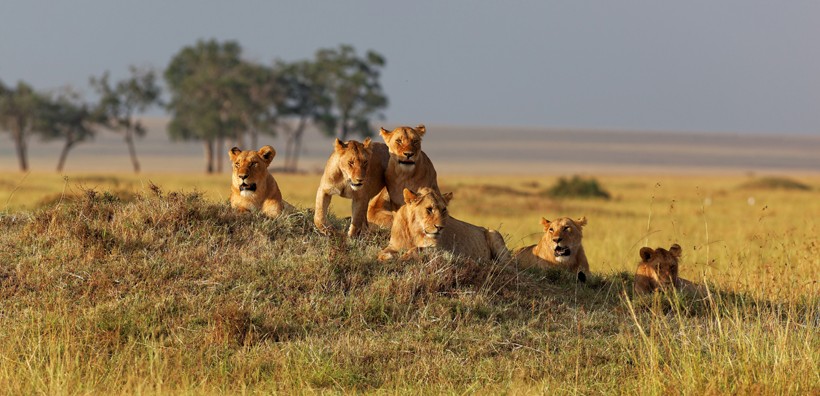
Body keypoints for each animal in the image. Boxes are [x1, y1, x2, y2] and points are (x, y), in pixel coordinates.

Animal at [380, 188, 510, 264]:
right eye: (429, 209)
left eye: (444, 210)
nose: (440, 227)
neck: (414, 232)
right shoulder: (393, 245)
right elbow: (382, 252)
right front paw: (387, 257)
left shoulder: (441, 250)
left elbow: (416, 249)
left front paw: (403, 257)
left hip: (494, 234)